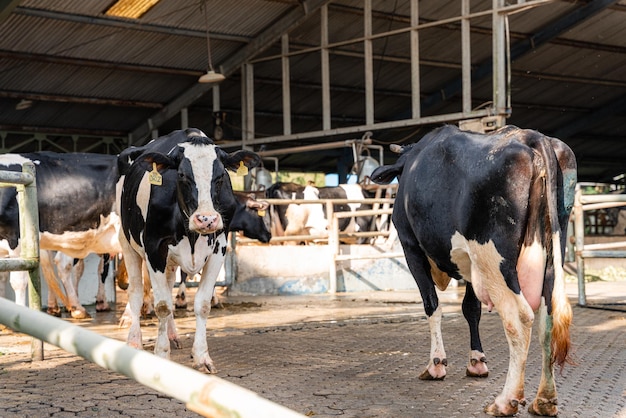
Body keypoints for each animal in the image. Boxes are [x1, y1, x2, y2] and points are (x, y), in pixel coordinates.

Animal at [117, 128, 260, 372]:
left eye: (221, 176)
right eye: (182, 175)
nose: (206, 219)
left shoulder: (220, 246)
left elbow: (202, 304)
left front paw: (202, 357)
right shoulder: (154, 247)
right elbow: (163, 305)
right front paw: (161, 355)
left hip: (169, 261)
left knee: (167, 285)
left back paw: (173, 335)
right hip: (127, 243)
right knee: (135, 292)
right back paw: (134, 341)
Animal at [370, 125, 576, 416]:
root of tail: (530, 136)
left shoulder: (411, 248)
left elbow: (432, 305)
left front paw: (436, 364)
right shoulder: (469, 264)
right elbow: (471, 309)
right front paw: (477, 361)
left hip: (493, 258)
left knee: (519, 317)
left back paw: (505, 401)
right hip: (549, 255)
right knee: (547, 317)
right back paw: (544, 400)